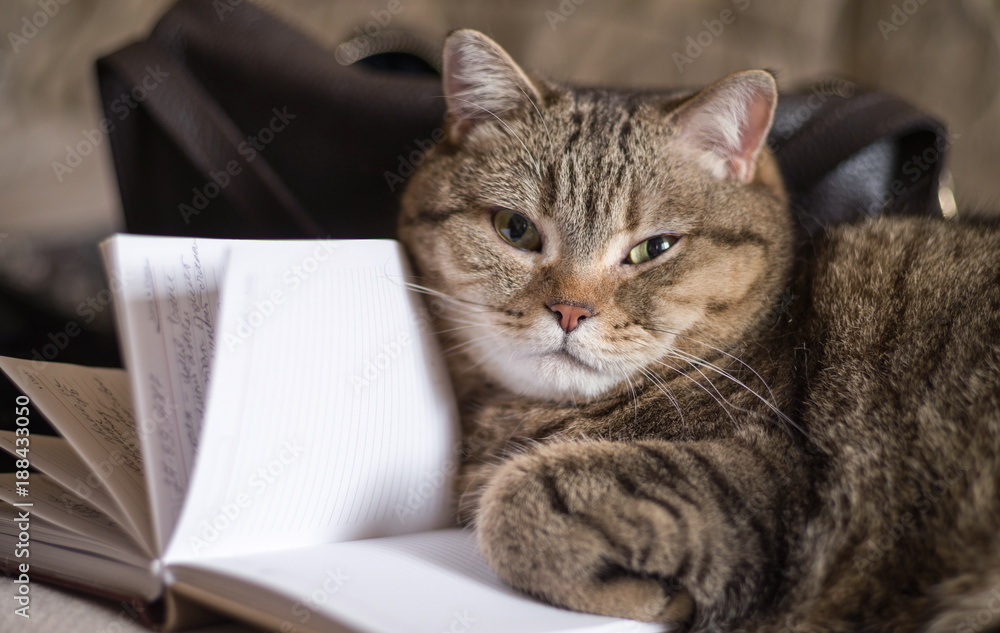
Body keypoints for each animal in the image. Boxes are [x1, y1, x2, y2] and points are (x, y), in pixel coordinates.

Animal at [394, 29, 1000, 632]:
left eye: (654, 248)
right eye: (515, 230)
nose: (569, 311)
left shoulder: (772, 479)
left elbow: (516, 498)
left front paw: (651, 598)